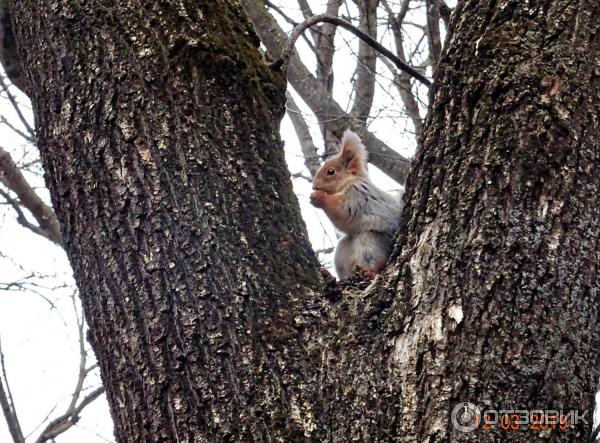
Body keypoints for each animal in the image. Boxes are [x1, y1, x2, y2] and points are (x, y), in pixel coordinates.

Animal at [310, 130, 404, 280]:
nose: (314, 186)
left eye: (331, 171)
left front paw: (318, 197)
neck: (349, 181)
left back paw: (370, 272)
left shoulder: (356, 196)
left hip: (371, 243)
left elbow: (341, 210)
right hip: (342, 252)